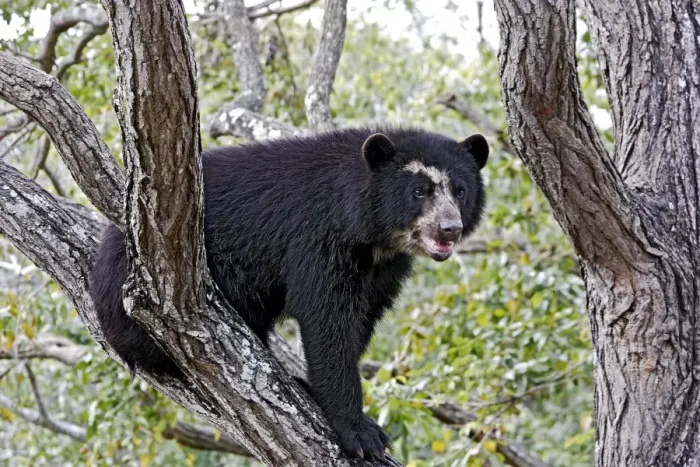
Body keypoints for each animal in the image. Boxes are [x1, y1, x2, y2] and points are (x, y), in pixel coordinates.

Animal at [89, 126, 489, 460]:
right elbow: (327, 319)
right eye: (418, 191)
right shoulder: (317, 238)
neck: (374, 238)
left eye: (460, 190)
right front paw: (361, 433)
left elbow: (362, 319)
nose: (449, 228)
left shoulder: (384, 269)